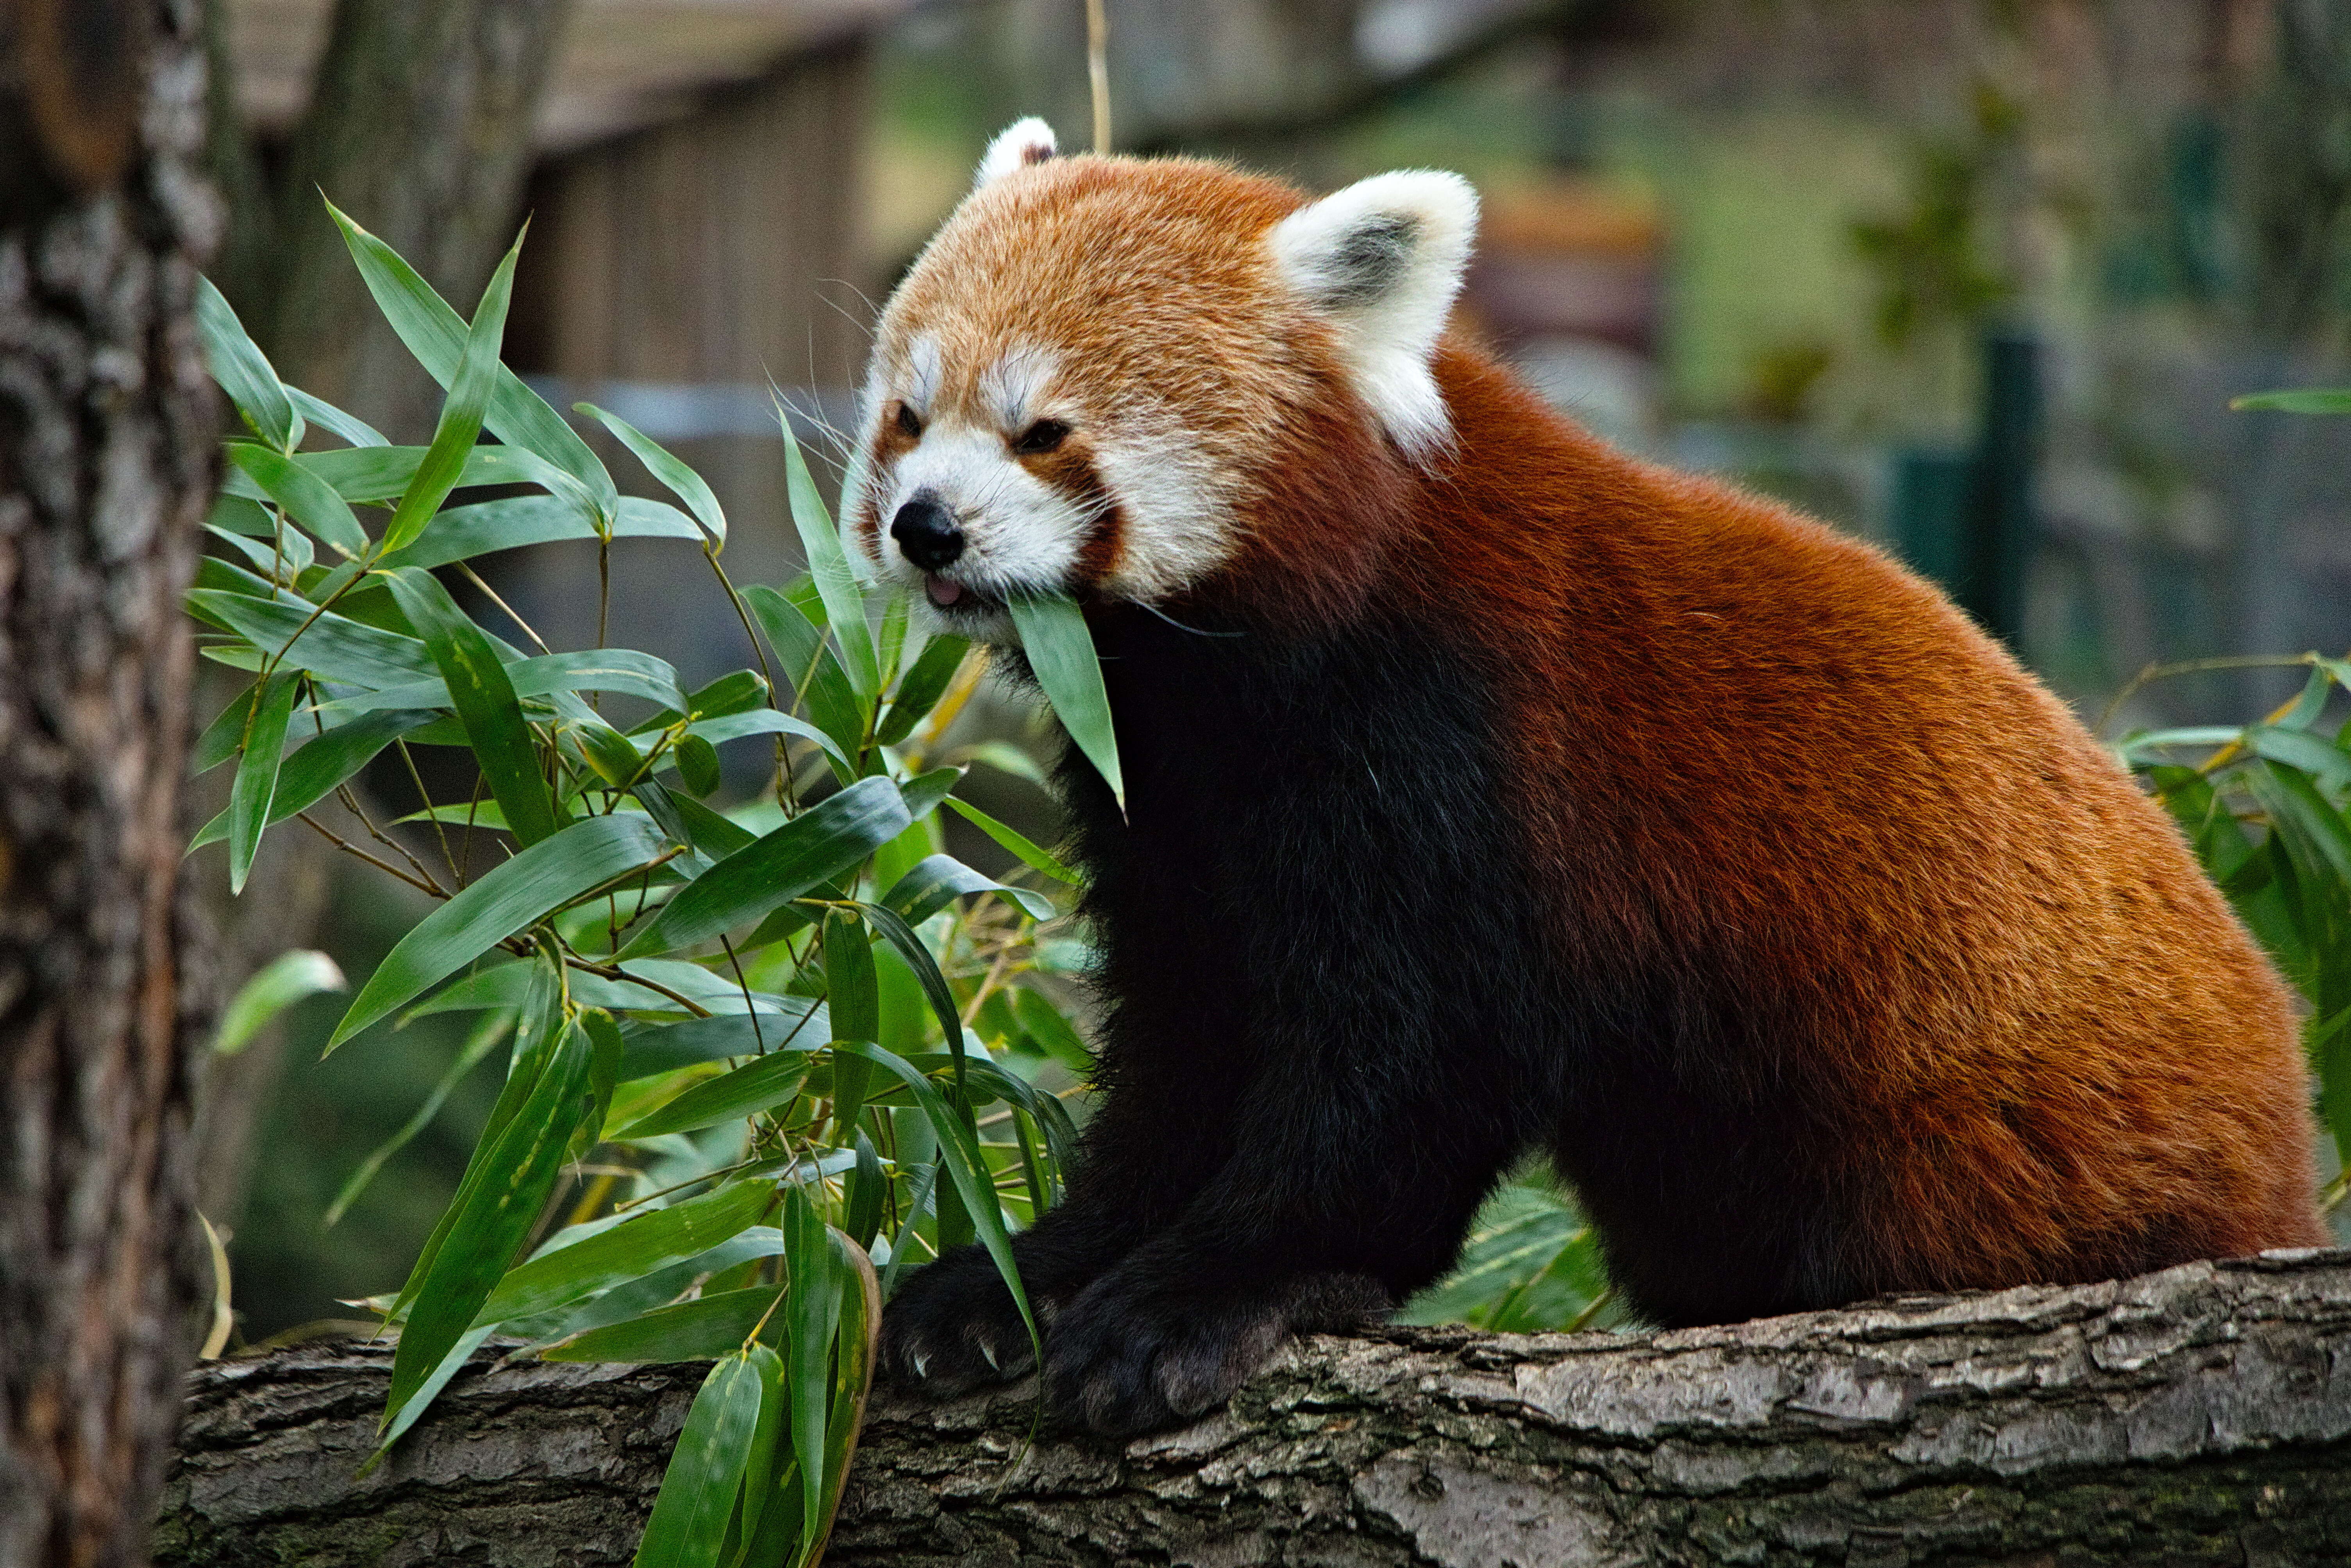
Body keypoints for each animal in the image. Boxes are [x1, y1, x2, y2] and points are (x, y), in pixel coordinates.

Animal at [851, 116, 2332, 1439]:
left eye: (1042, 432)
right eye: (908, 418)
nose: (924, 526)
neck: (1220, 677)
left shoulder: (1464, 758)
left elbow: (1404, 1074)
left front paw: (1205, 1295)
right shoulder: (1168, 800)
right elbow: (1186, 1045)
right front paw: (1017, 1275)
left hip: (1984, 1148)